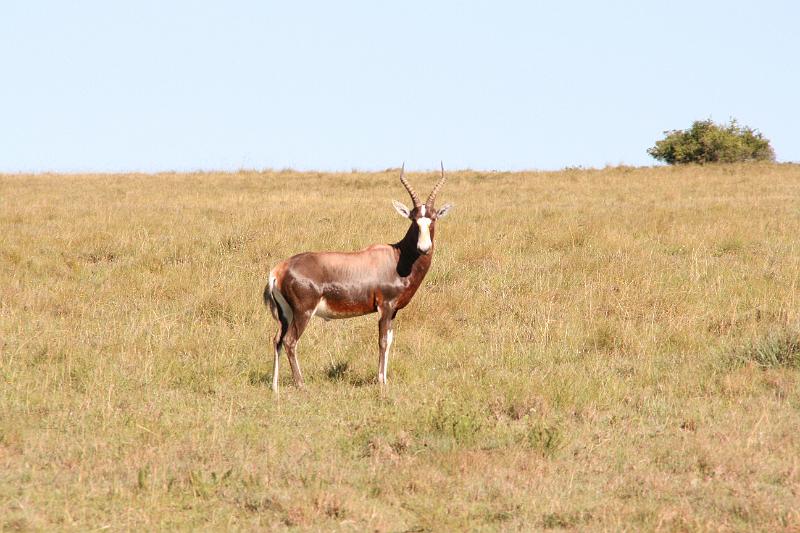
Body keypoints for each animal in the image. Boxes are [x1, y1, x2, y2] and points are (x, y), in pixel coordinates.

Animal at [262, 164, 450, 392]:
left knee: (277, 340)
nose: (424, 248)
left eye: (433, 218)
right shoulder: (385, 307)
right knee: (290, 342)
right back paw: (301, 385)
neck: (397, 256)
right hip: (302, 313)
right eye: (413, 220)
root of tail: (278, 270)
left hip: (285, 314)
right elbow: (382, 341)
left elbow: (390, 340)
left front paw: (385, 379)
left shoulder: (394, 311)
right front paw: (381, 382)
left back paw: (275, 387)